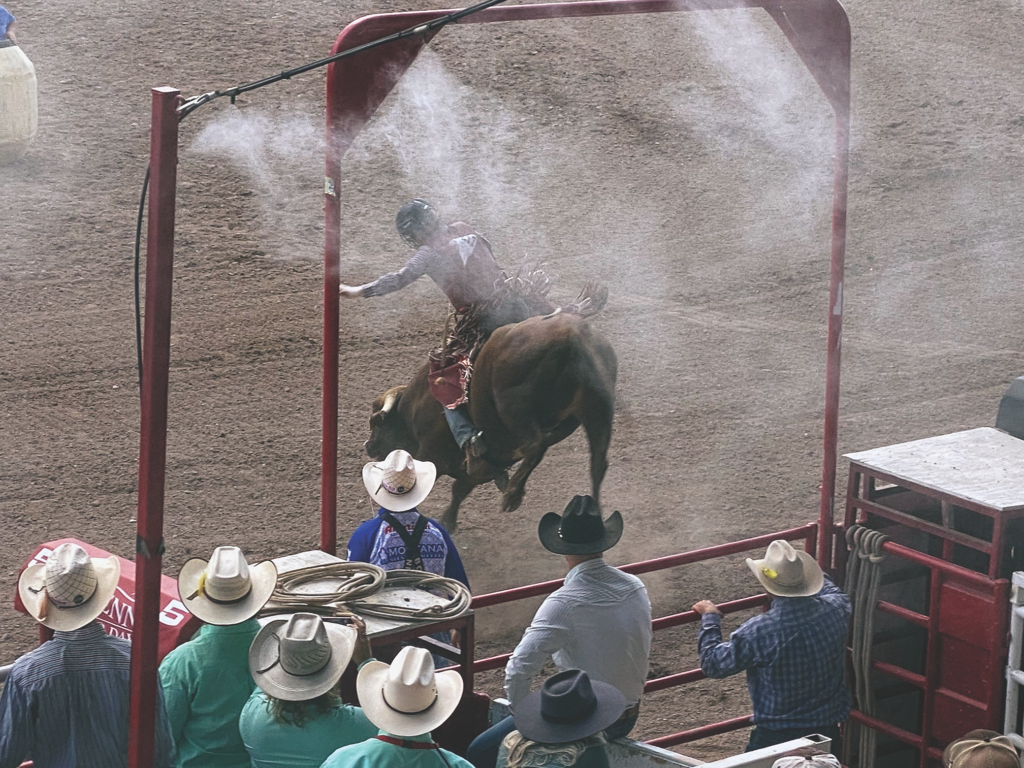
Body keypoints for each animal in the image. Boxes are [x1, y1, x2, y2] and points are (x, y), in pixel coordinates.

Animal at [368, 313, 614, 536]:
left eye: (375, 424)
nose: (368, 446)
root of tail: (574, 334)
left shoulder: (433, 454)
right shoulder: (482, 465)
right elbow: (460, 489)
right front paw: (448, 521)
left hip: (512, 406)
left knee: (536, 446)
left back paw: (513, 494)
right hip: (596, 412)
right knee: (597, 464)